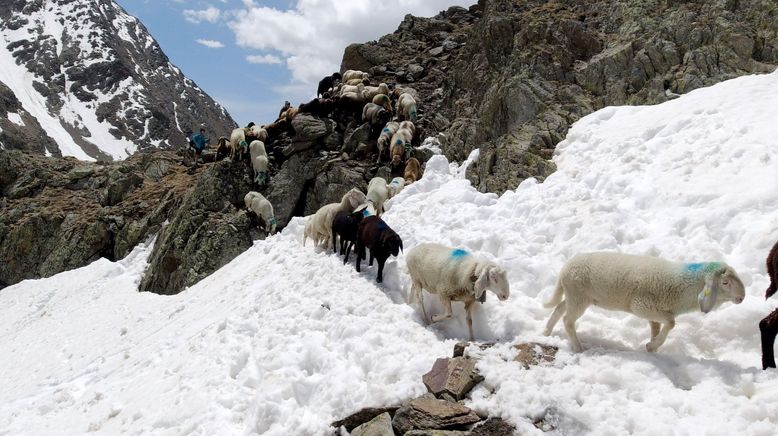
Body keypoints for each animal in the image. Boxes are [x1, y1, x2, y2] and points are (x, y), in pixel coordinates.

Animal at [544, 250, 744, 352]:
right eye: (725, 282)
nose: (742, 297)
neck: (684, 287)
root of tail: (564, 268)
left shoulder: (654, 311)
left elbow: (657, 327)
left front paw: (653, 348)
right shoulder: (642, 305)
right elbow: (671, 323)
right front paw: (652, 345)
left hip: (576, 295)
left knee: (559, 309)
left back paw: (546, 332)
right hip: (579, 296)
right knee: (567, 320)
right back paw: (578, 347)